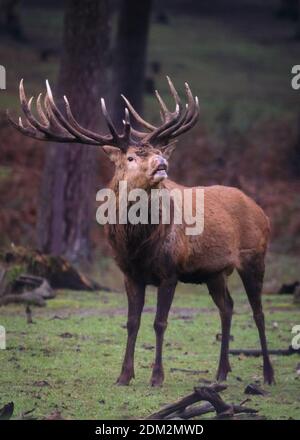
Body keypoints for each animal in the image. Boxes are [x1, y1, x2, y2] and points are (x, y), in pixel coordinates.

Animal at [7, 77, 274, 386]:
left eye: (158, 151)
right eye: (132, 157)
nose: (162, 163)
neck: (137, 246)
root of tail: (262, 211)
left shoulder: (170, 271)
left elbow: (159, 322)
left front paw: (156, 377)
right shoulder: (129, 273)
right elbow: (131, 322)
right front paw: (124, 375)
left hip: (254, 257)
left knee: (258, 312)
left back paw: (268, 374)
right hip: (214, 272)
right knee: (227, 307)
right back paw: (221, 373)